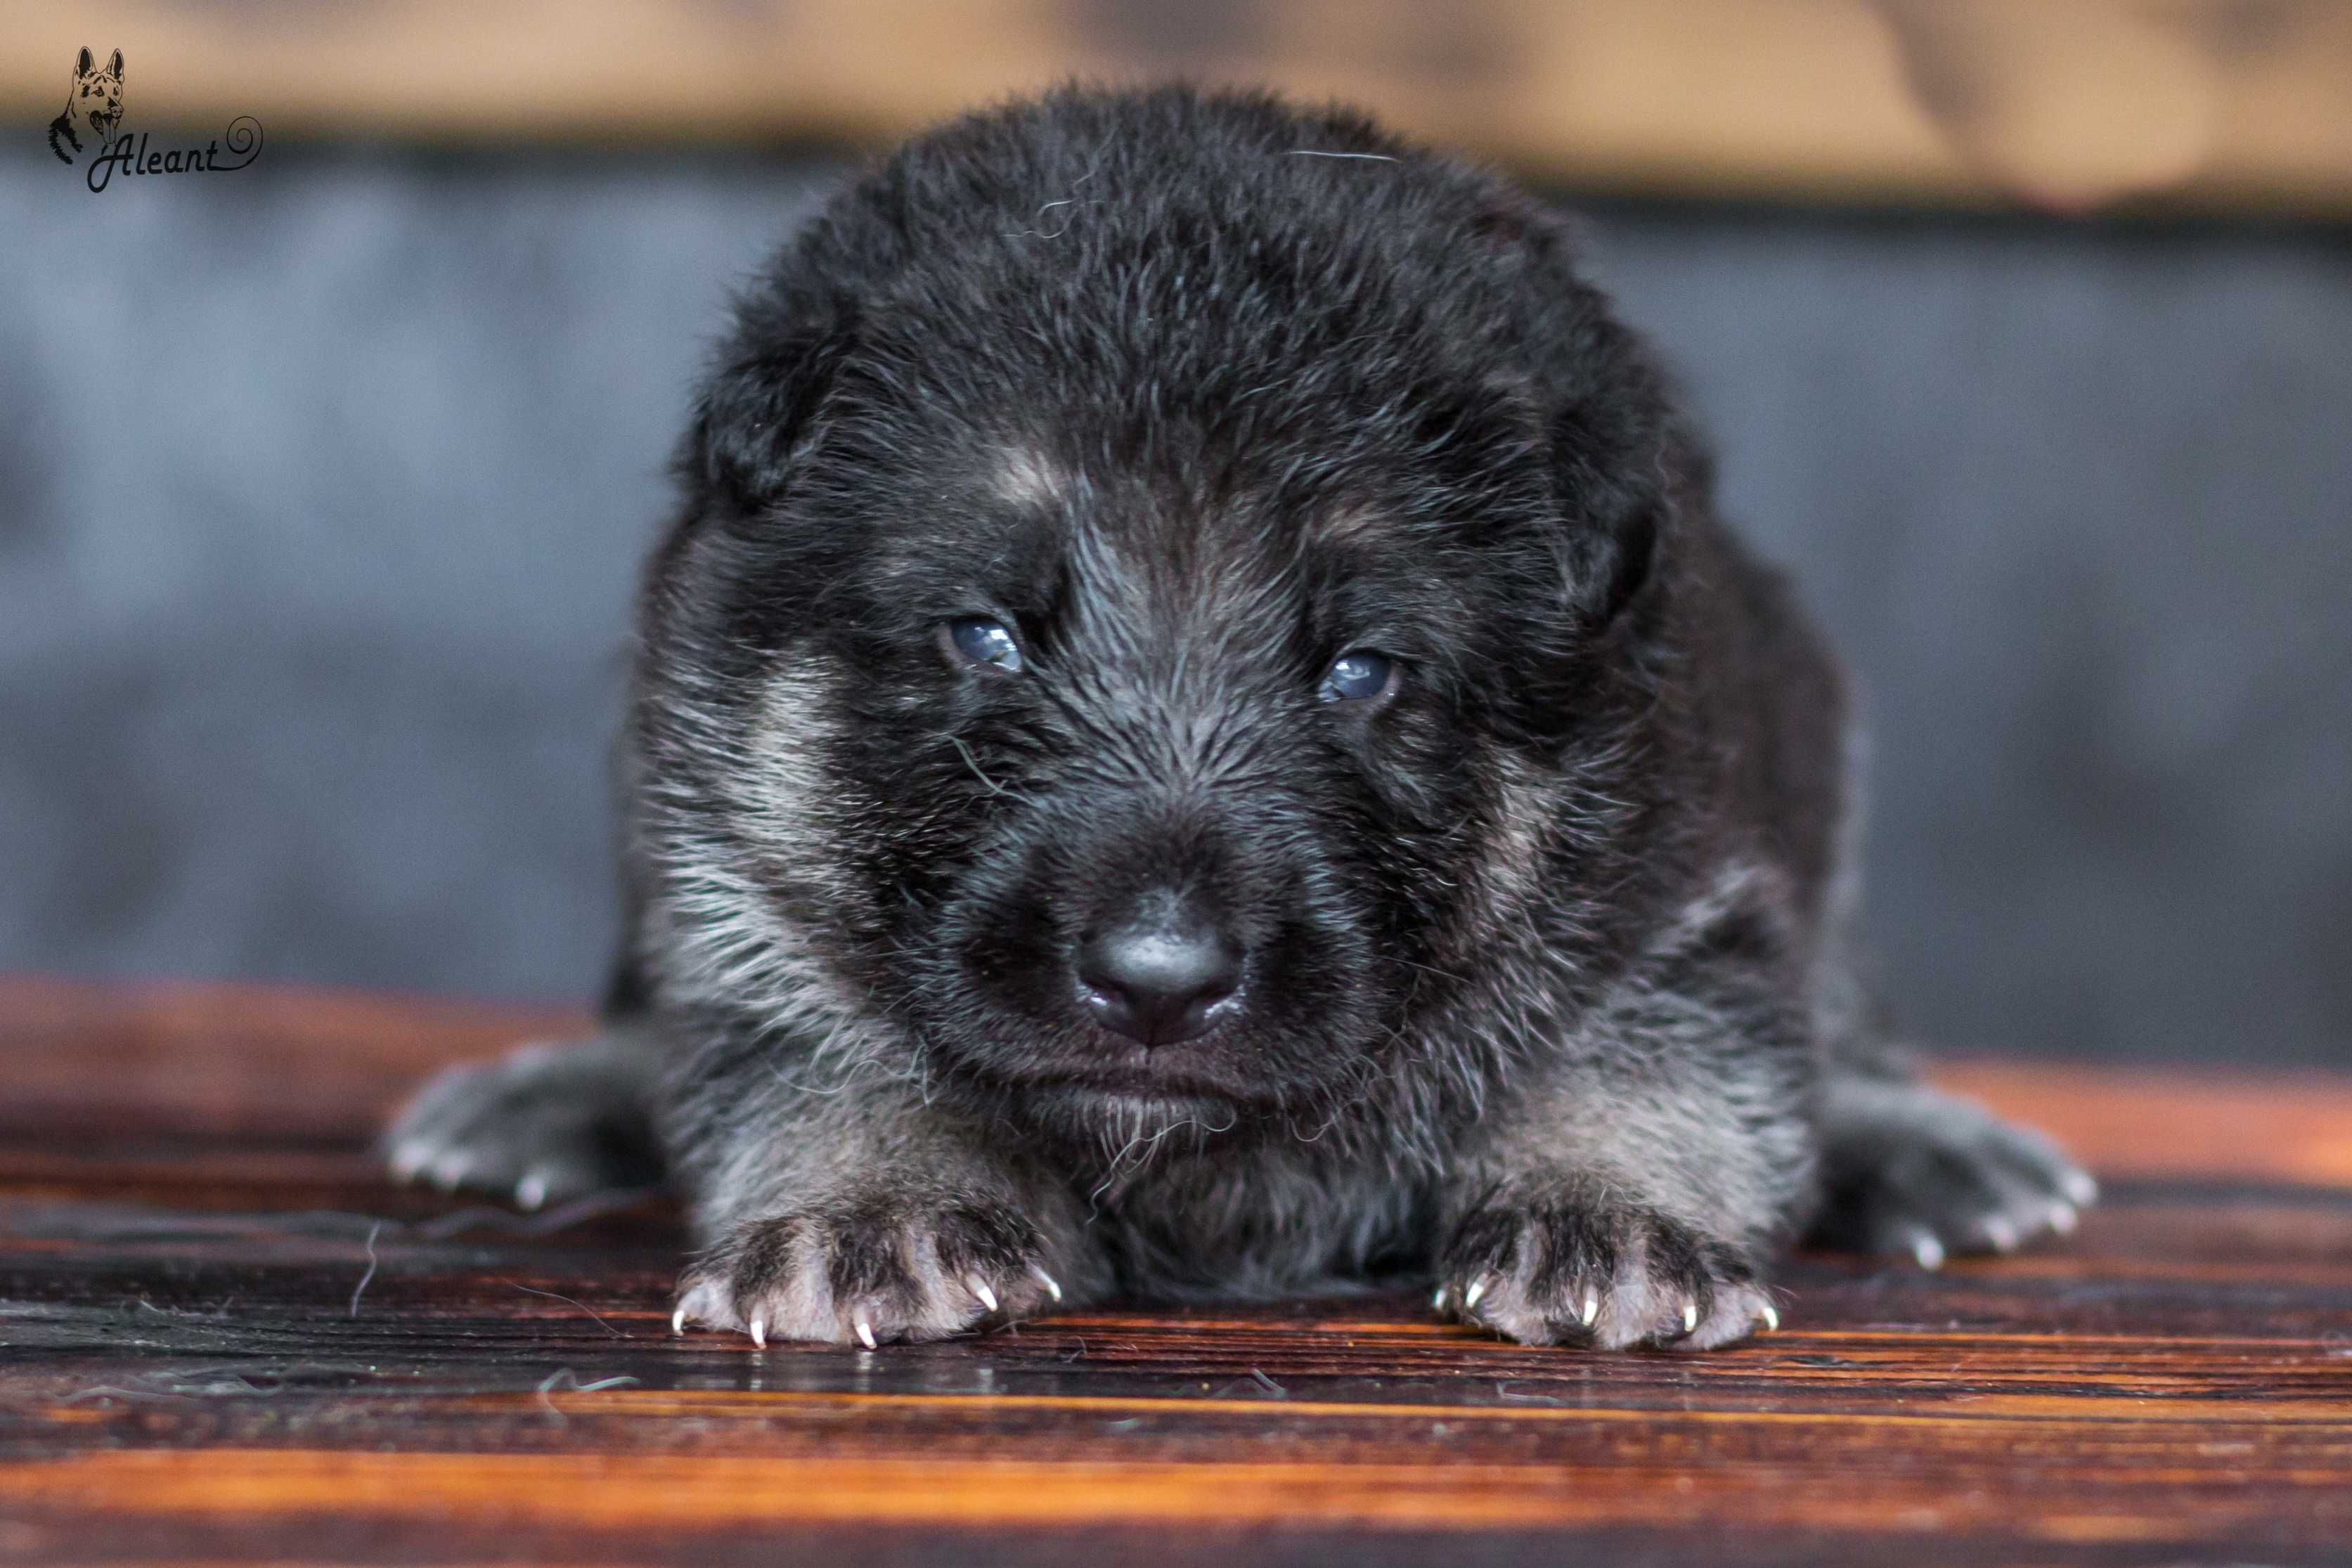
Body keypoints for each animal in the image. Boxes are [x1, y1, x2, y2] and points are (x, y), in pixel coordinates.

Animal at [390, 86, 2098, 1354]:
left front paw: (1608, 1205)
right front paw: (874, 1196)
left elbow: (1665, 1048)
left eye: (1360, 671)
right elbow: (807, 1034)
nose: (1157, 981)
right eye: (985, 635)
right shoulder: (727, 847)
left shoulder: (1692, 872)